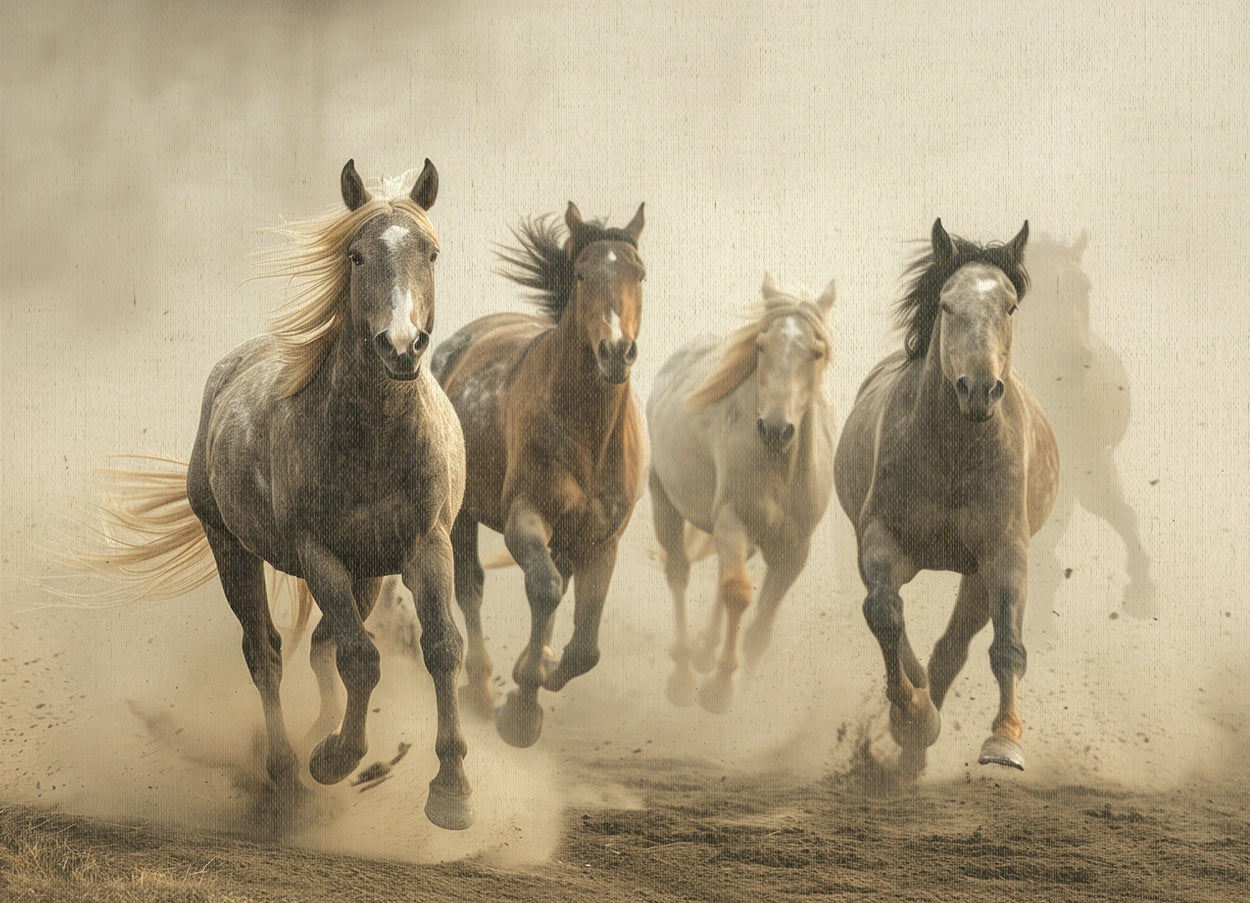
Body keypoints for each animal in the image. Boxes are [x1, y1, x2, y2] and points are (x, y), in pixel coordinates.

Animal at [73, 160, 474, 829]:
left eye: (432, 253)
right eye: (356, 255)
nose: (401, 345)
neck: (372, 437)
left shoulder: (426, 545)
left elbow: (440, 647)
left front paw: (452, 789)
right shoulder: (319, 556)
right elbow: (361, 659)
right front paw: (334, 760)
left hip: (367, 573)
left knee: (320, 645)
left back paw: (313, 738)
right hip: (234, 550)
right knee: (267, 652)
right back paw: (287, 769)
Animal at [430, 201, 647, 748]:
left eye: (639, 273)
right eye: (582, 273)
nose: (617, 351)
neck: (587, 433)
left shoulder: (600, 541)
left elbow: (586, 646)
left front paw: (542, 670)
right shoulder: (525, 516)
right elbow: (543, 589)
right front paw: (522, 710)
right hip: (461, 515)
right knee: (471, 586)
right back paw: (481, 689)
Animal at [646, 274, 838, 714]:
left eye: (816, 352)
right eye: (762, 345)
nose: (775, 429)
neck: (779, 469)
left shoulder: (794, 549)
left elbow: (760, 631)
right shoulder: (732, 520)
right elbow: (737, 594)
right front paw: (719, 687)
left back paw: (703, 649)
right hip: (665, 502)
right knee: (679, 574)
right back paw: (684, 673)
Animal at [834, 219, 1058, 773]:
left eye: (1010, 306)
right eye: (947, 305)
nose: (978, 389)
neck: (955, 453)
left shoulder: (1004, 551)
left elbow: (1007, 646)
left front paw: (1004, 740)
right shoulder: (881, 536)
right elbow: (884, 614)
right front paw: (913, 718)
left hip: (975, 576)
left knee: (952, 647)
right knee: (902, 628)